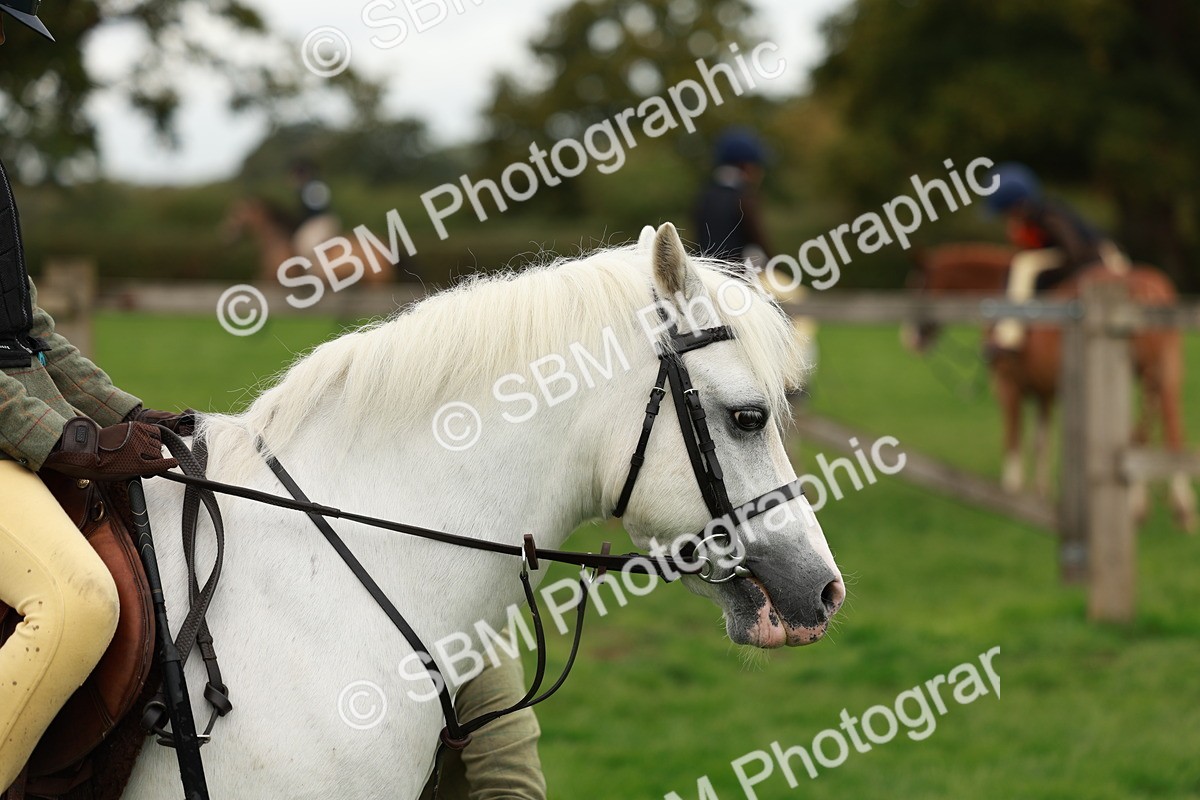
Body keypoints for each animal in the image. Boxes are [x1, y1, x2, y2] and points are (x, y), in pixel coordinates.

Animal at [906, 243, 1196, 532]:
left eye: (917, 286)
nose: (910, 339)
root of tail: (1152, 289)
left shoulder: (1009, 386)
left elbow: (1012, 438)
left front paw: (1011, 493)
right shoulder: (1042, 392)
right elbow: (1040, 442)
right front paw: (1040, 494)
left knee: (1142, 435)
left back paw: (1143, 506)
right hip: (1167, 372)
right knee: (1168, 430)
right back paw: (1177, 509)